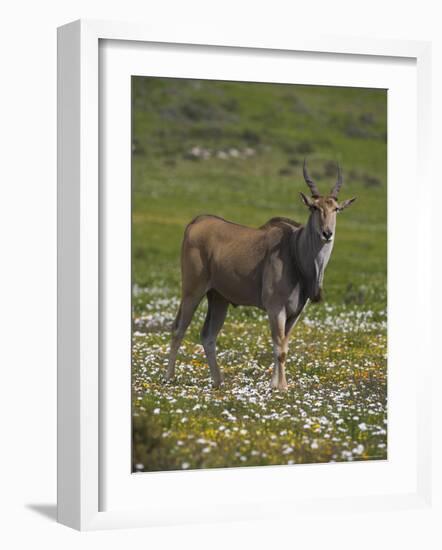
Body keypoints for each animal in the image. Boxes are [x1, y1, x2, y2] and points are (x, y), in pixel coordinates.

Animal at [166, 162, 356, 390]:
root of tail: (195, 222)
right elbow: (279, 349)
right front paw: (281, 386)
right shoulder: (275, 308)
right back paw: (169, 377)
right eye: (314, 207)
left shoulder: (295, 313)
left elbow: (284, 345)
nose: (327, 233)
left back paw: (218, 381)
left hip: (219, 298)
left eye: (336, 209)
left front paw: (276, 384)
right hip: (192, 291)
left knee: (208, 336)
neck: (294, 251)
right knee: (178, 329)